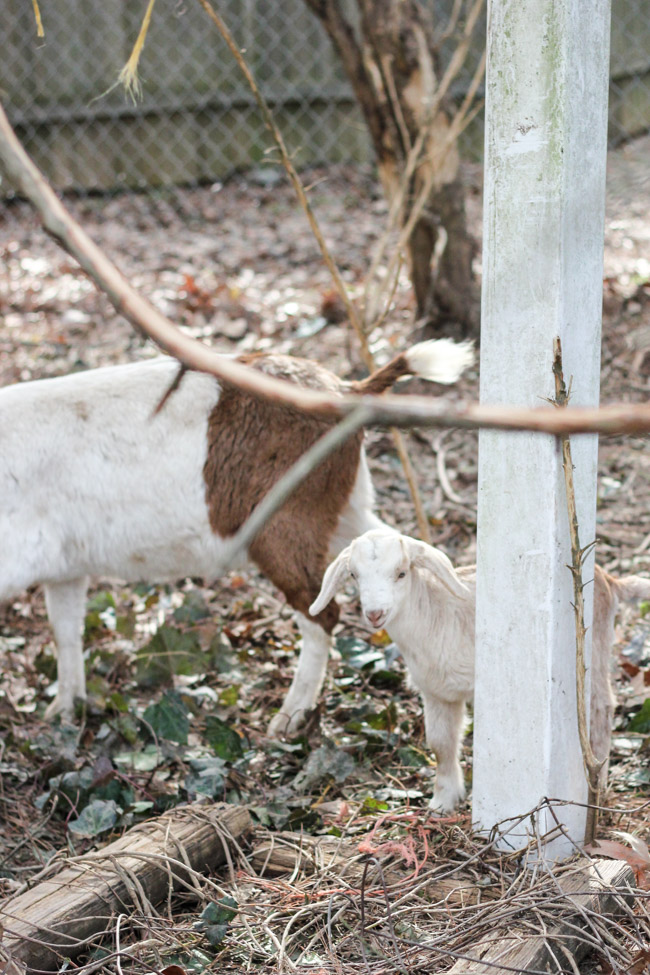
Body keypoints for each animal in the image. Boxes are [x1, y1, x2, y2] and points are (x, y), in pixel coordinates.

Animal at [0, 340, 473, 727]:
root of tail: (345, 389)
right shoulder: (65, 567)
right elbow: (66, 629)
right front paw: (63, 712)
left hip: (285, 519)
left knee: (321, 613)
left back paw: (286, 721)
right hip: (348, 510)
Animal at [310, 528, 650, 812]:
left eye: (402, 573)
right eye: (353, 575)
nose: (375, 613)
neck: (435, 612)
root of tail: (610, 581)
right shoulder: (437, 693)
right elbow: (440, 743)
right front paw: (443, 801)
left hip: (594, 645)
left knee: (601, 708)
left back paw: (598, 784)